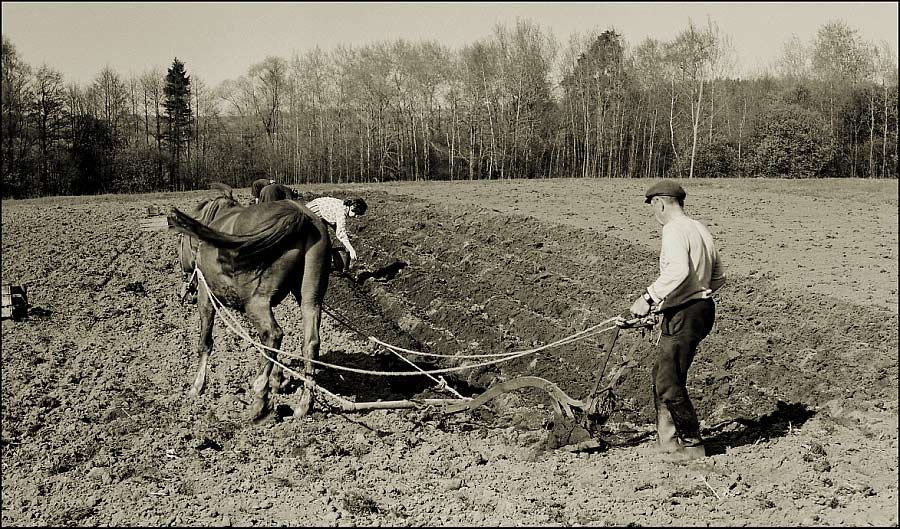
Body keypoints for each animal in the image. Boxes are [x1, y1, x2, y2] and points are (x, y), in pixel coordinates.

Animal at [169, 183, 330, 420]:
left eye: (180, 241)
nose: (185, 290)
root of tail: (300, 215)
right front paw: (278, 379)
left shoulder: (206, 296)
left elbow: (205, 343)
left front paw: (196, 387)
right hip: (310, 298)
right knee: (310, 342)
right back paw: (303, 404)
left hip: (256, 302)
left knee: (272, 335)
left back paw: (259, 400)